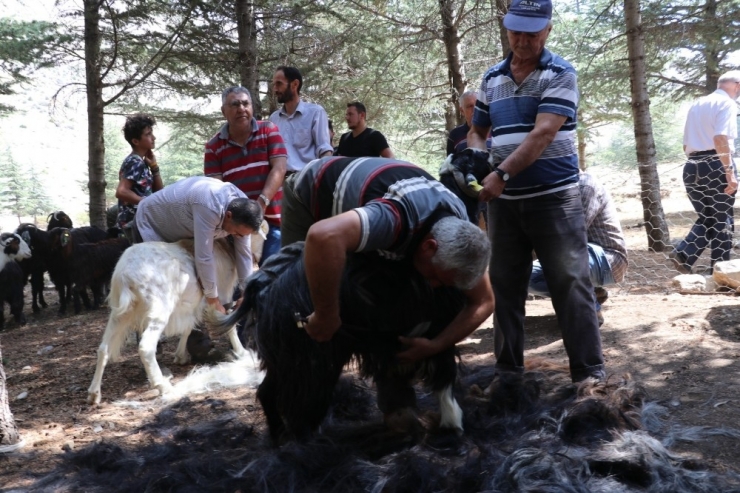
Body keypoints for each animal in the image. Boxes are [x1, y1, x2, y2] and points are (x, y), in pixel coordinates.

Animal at [86, 237, 249, 404]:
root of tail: (125, 276)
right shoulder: (221, 295)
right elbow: (229, 323)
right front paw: (242, 353)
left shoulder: (191, 306)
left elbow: (188, 328)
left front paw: (180, 356)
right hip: (158, 312)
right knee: (145, 347)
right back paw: (164, 386)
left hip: (119, 314)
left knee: (103, 348)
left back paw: (94, 394)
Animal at [205, 241, 466, 442]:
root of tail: (262, 287)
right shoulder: (436, 329)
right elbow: (444, 373)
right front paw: (452, 423)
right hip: (312, 358)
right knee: (299, 402)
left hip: (286, 358)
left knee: (268, 392)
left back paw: (281, 438)